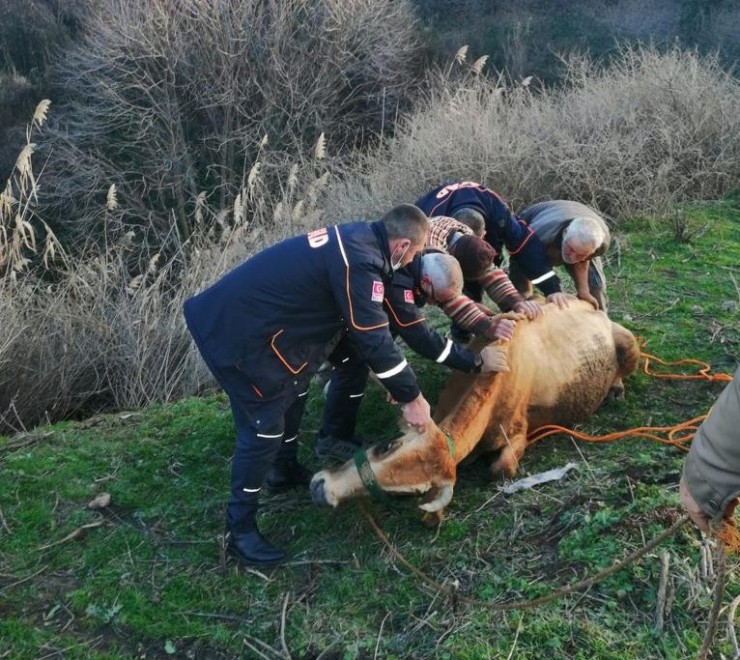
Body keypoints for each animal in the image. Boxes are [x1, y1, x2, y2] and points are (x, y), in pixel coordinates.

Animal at [310, 300, 640, 520]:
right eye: (387, 445)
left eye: (404, 494)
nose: (321, 490)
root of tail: (588, 303)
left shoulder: (518, 431)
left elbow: (501, 469)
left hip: (630, 344)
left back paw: (616, 389)